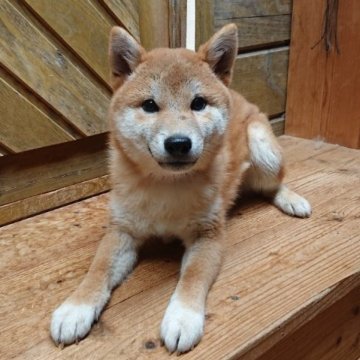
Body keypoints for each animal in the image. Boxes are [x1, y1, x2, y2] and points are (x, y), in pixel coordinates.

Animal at [50, 23, 312, 354]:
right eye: (150, 105)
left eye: (198, 103)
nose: (178, 143)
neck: (166, 188)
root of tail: (239, 96)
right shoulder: (123, 230)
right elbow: (97, 270)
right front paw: (76, 308)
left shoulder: (208, 235)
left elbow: (193, 277)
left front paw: (183, 318)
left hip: (263, 148)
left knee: (272, 185)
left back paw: (291, 199)